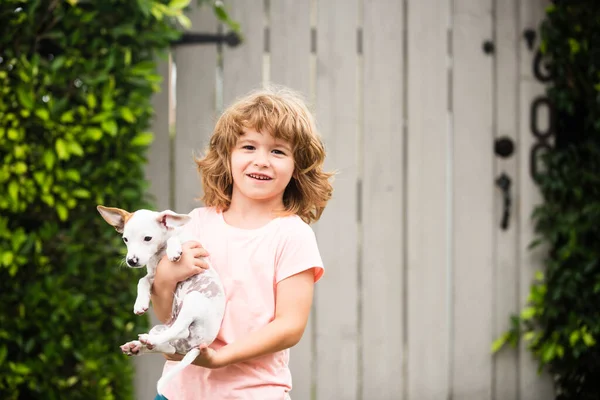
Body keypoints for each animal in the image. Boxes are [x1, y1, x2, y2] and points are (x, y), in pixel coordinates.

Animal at [97, 206, 226, 396]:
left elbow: (174, 238)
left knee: (181, 329)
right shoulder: (154, 277)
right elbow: (141, 281)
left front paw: (174, 251)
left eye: (147, 238)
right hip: (161, 330)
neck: (158, 253)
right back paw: (139, 345)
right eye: (125, 239)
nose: (131, 261)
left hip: (193, 299)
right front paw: (140, 303)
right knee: (170, 345)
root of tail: (197, 345)